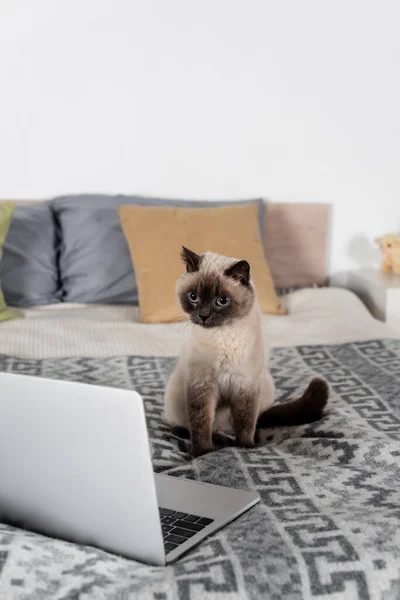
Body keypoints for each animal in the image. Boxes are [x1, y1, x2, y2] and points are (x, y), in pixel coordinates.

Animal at [163, 246, 328, 458]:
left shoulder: (246, 386)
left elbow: (246, 422)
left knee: (254, 421)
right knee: (187, 426)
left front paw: (245, 448)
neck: (222, 335)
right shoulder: (202, 385)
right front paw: (202, 453)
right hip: (175, 392)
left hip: (265, 385)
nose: (203, 316)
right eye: (193, 297)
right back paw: (215, 439)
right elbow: (200, 423)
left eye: (222, 300)